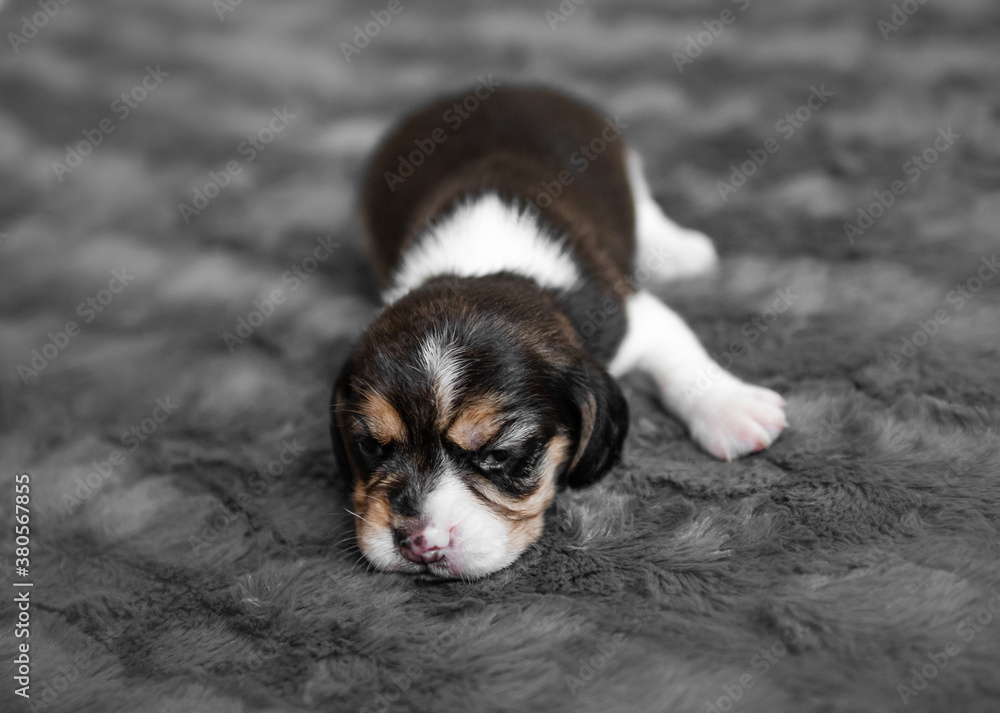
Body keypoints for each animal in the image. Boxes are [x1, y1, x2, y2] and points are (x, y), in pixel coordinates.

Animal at [332, 85, 784, 580]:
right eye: (371, 446)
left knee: (649, 215)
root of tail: (500, 88)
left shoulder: (629, 317)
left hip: (628, 168)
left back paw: (682, 250)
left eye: (499, 455)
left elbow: (682, 358)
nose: (418, 544)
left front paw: (732, 408)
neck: (482, 265)